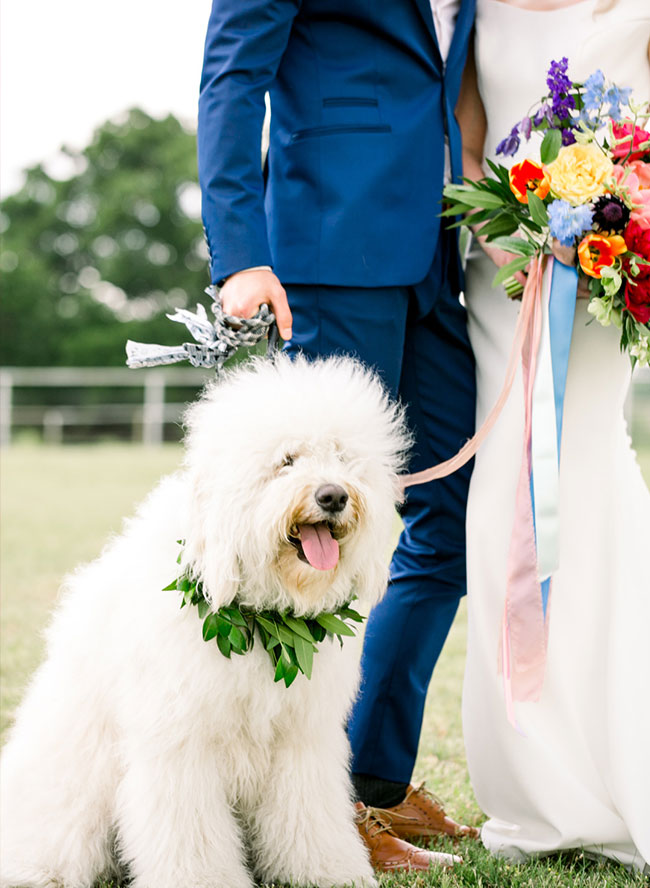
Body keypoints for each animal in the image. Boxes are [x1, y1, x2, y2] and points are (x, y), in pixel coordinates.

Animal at [1, 354, 404, 888]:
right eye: (287, 460)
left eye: (341, 457)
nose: (334, 496)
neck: (260, 616)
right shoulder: (181, 744)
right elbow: (190, 832)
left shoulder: (302, 741)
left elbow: (308, 814)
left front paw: (328, 870)